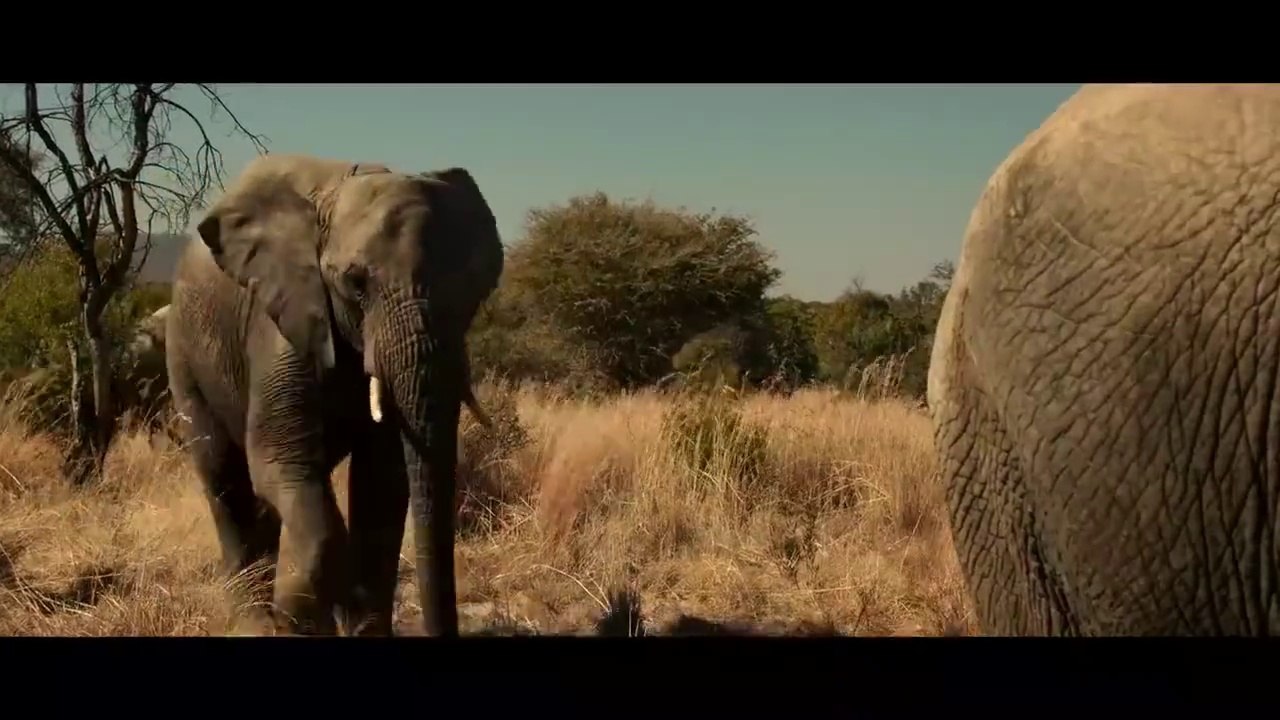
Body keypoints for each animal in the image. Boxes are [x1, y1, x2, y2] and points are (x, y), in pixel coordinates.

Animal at [165, 153, 504, 636]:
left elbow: (382, 480)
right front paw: (296, 617)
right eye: (355, 283)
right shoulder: (284, 317)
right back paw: (253, 619)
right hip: (184, 351)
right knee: (223, 475)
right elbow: (279, 460)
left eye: (473, 286)